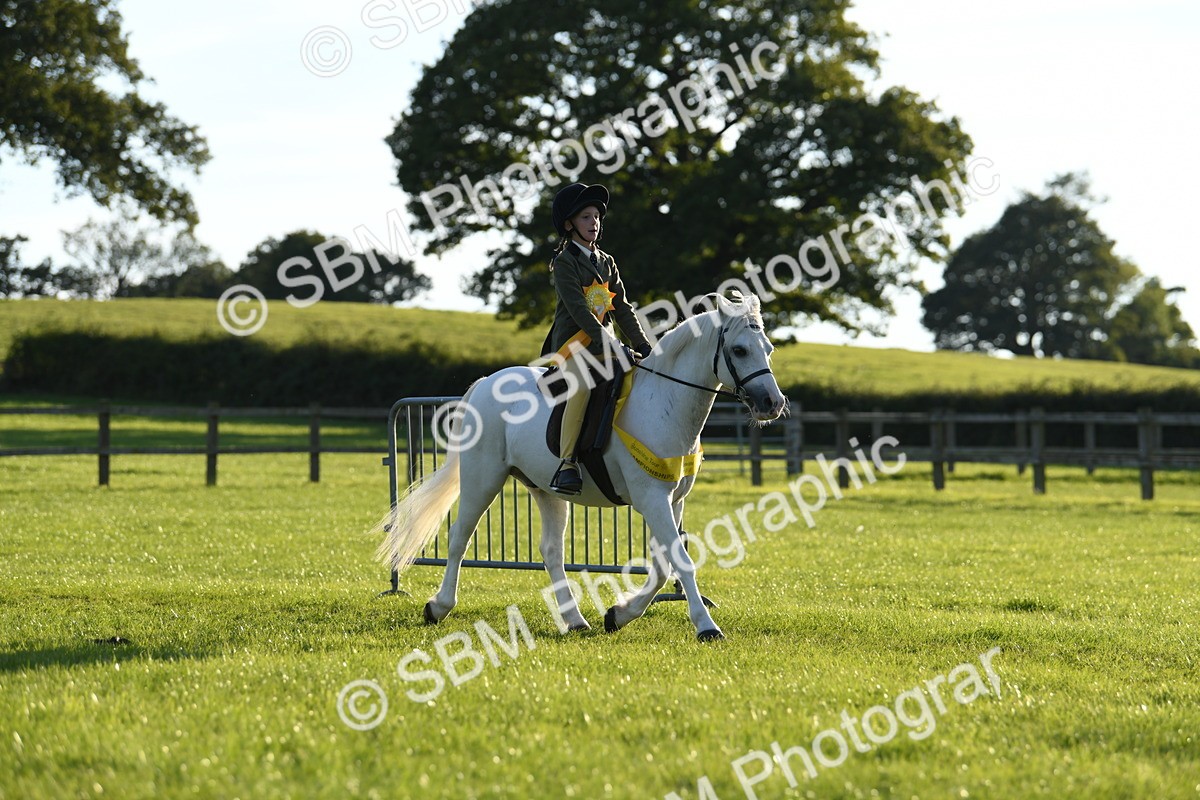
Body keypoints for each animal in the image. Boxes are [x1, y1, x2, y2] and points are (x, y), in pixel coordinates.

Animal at [375, 292, 786, 640]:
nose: (773, 403)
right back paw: (439, 607)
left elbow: (662, 565)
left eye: (768, 349)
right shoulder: (652, 498)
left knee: (551, 551)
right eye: (739, 349)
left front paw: (619, 614)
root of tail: (485, 384)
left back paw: (574, 619)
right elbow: (680, 562)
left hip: (545, 490)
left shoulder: (672, 500)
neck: (664, 400)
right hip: (483, 478)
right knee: (460, 536)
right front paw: (706, 627)